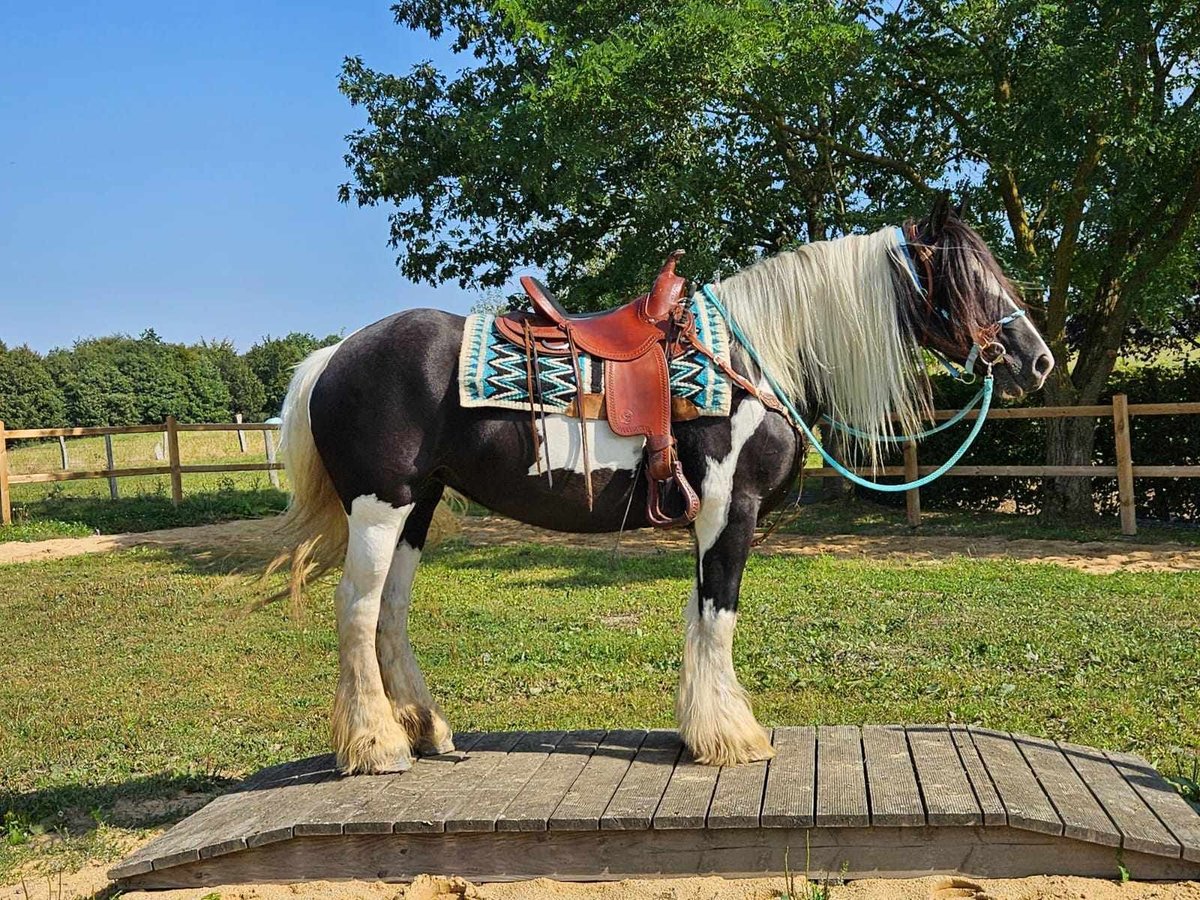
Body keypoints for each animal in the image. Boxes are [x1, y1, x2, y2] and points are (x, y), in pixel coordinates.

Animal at [270, 202, 1051, 777]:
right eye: (967, 277)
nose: (1038, 361)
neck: (754, 362)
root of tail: (334, 355)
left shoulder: (709, 518)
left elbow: (700, 617)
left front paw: (703, 730)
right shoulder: (729, 511)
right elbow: (719, 615)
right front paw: (732, 738)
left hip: (419, 505)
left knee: (390, 611)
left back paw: (425, 729)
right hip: (381, 506)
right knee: (357, 608)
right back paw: (378, 747)